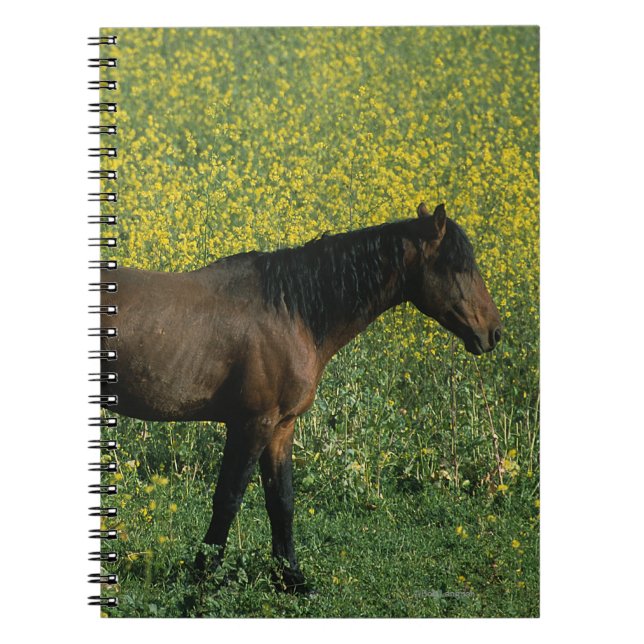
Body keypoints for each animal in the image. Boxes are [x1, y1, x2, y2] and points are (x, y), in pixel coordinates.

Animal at [100, 202, 502, 593]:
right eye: (458, 266)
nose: (493, 332)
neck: (291, 311)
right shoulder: (252, 424)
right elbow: (228, 498)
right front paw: (204, 572)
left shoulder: (282, 426)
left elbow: (282, 500)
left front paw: (291, 577)